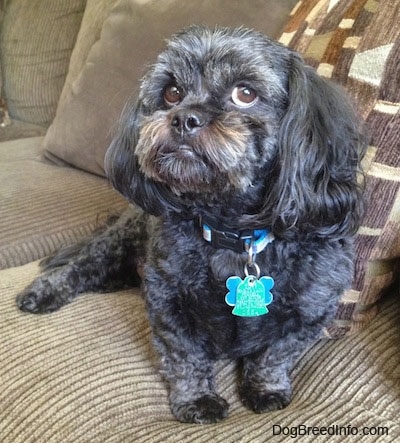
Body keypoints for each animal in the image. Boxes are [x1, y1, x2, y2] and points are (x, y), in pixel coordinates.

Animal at [16, 26, 366, 424]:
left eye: (245, 93)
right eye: (172, 92)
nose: (184, 118)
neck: (234, 233)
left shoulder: (312, 311)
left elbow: (274, 356)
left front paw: (265, 389)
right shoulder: (168, 301)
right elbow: (184, 356)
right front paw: (196, 400)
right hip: (121, 238)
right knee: (80, 267)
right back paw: (45, 290)